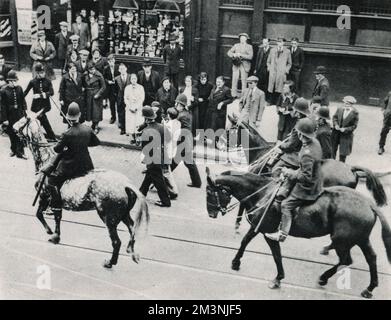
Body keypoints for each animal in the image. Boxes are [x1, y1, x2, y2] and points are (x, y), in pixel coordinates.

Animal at [13, 114, 150, 268]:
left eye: (22, 121)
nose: (8, 126)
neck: (46, 159)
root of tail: (126, 184)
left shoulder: (45, 196)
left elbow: (43, 215)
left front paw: (52, 234)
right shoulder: (49, 199)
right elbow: (50, 215)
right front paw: (53, 233)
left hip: (109, 218)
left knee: (116, 241)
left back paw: (110, 262)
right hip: (123, 214)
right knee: (132, 229)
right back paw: (131, 251)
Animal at [205, 169, 391, 298]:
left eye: (210, 193)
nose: (211, 214)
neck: (263, 193)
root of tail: (369, 204)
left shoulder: (267, 232)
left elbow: (275, 254)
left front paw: (277, 278)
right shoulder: (258, 228)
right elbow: (246, 241)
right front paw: (236, 262)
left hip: (342, 241)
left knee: (346, 260)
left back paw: (324, 277)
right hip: (360, 239)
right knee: (371, 258)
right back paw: (369, 288)